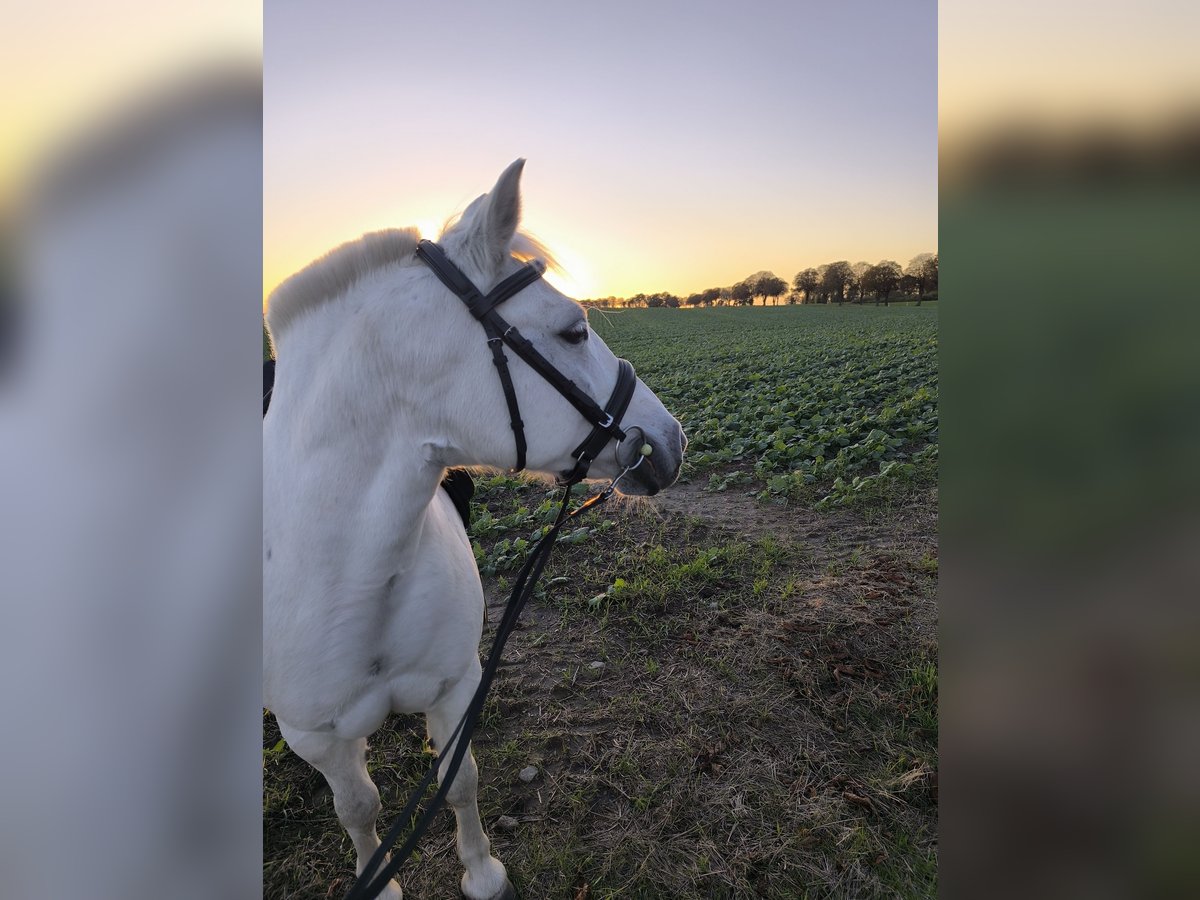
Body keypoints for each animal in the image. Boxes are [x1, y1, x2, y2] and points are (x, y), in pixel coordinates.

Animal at [267, 162, 691, 900]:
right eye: (574, 331)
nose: (671, 439)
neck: (349, 573)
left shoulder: (456, 684)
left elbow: (457, 780)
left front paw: (483, 874)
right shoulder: (315, 735)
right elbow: (358, 808)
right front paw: (380, 882)